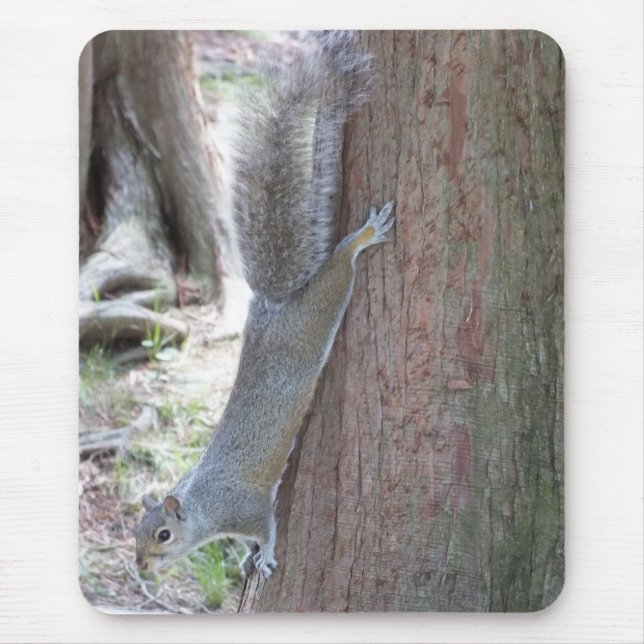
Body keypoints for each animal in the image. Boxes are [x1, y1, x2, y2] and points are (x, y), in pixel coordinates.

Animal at [135, 31, 395, 579]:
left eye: (163, 535)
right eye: (135, 532)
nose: (141, 566)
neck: (204, 508)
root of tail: (270, 307)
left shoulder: (246, 508)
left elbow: (268, 526)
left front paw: (266, 554)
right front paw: (248, 558)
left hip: (317, 315)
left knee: (339, 270)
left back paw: (362, 237)